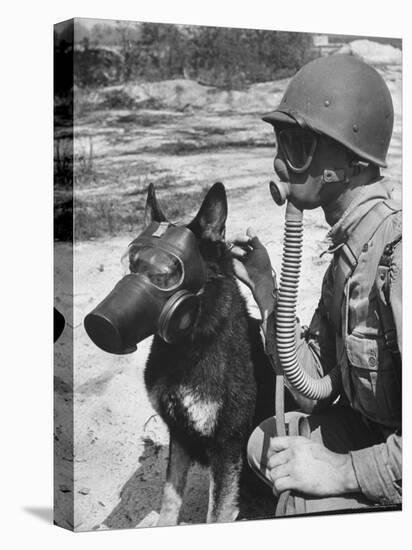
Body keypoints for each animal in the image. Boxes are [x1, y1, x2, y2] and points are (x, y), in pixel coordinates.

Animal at [141, 183, 274, 528]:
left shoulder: (227, 445)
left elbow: (217, 512)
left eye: (170, 270)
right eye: (134, 264)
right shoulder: (179, 434)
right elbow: (170, 497)